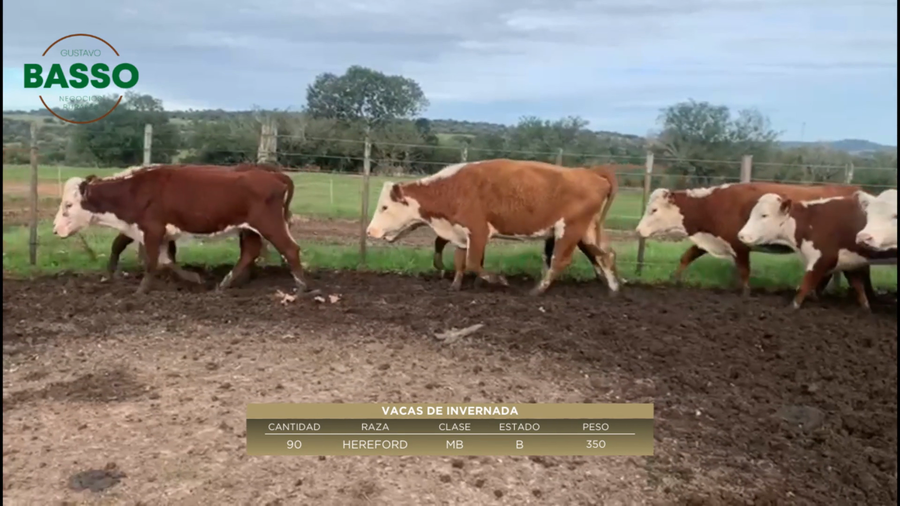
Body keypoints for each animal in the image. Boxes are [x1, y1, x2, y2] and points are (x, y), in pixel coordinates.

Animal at [52, 164, 310, 295]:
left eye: (68, 205)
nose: (55, 229)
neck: (136, 190)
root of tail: (276, 176)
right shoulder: (160, 233)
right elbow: (166, 260)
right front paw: (194, 278)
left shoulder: (152, 230)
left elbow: (153, 262)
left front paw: (141, 291)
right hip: (251, 229)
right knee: (250, 252)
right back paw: (224, 284)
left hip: (269, 224)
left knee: (290, 249)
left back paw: (300, 288)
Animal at [365, 159, 620, 296]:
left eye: (385, 207)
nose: (369, 231)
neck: (454, 188)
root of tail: (592, 173)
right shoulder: (460, 233)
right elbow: (460, 261)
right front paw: (456, 285)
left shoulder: (478, 231)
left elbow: (473, 263)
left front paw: (498, 280)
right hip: (587, 232)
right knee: (605, 255)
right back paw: (613, 289)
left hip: (569, 231)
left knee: (560, 261)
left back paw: (537, 290)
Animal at [634, 182, 864, 297]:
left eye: (654, 210)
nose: (638, 230)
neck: (713, 204)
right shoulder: (715, 238)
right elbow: (687, 256)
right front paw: (674, 280)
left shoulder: (739, 245)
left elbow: (744, 270)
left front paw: (745, 292)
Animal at [737, 193, 897, 310]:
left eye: (764, 215)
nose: (741, 235)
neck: (812, 221)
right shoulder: (851, 262)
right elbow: (858, 287)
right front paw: (866, 308)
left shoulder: (821, 260)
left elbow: (805, 286)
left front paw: (792, 307)